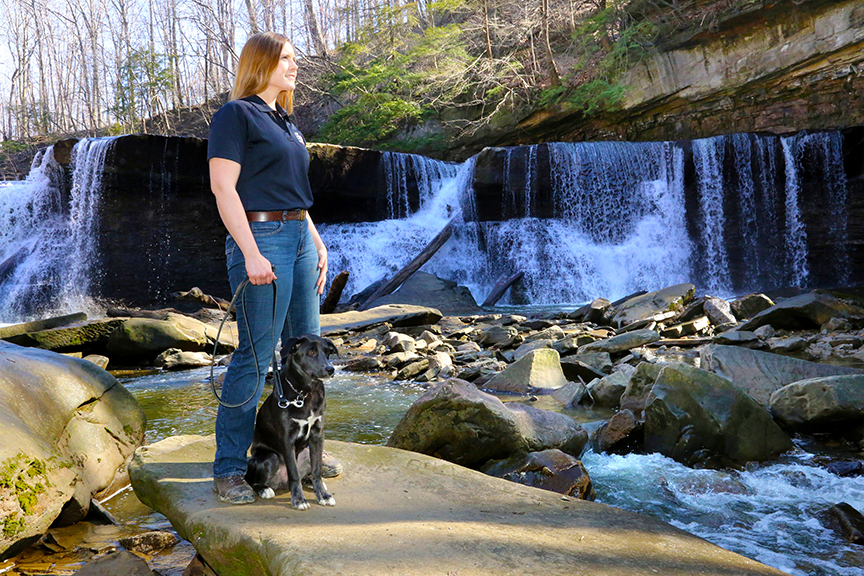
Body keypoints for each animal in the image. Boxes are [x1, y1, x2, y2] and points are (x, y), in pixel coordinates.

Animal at [245, 332, 340, 508]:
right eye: (311, 352)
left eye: (327, 353)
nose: (330, 369)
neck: (305, 393)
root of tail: (280, 483)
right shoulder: (287, 439)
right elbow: (294, 473)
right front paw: (299, 499)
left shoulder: (317, 435)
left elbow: (317, 470)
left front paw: (323, 495)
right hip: (269, 458)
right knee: (252, 481)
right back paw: (264, 489)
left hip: (307, 451)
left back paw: (309, 481)